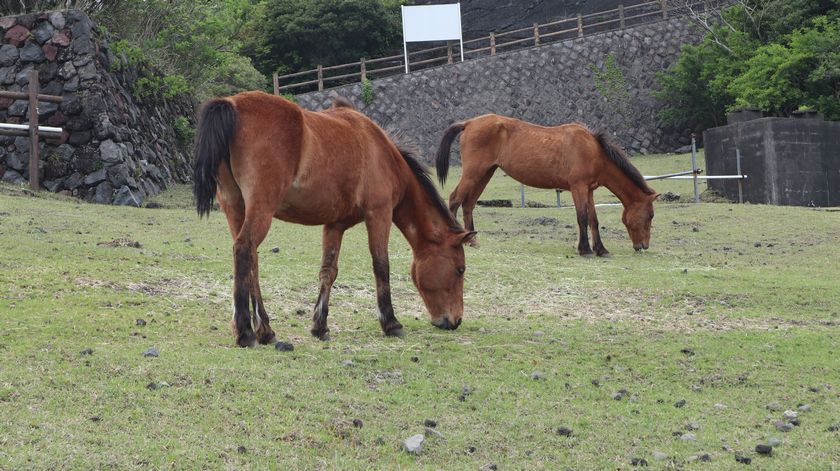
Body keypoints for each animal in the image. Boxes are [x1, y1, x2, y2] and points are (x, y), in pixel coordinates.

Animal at [193, 92, 476, 348]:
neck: (382, 152)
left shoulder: (335, 225)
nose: (455, 321)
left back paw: (265, 330)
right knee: (244, 250)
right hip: (260, 209)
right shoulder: (379, 214)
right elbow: (381, 265)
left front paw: (320, 325)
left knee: (251, 260)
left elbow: (328, 271)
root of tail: (232, 104)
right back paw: (246, 332)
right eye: (460, 269)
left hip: (235, 208)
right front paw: (391, 323)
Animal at [436, 114, 660, 256]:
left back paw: (472, 240)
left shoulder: (589, 190)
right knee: (455, 200)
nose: (643, 246)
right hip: (473, 172)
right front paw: (585, 249)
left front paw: (601, 249)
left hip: (484, 174)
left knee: (468, 204)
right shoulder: (578, 188)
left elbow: (593, 220)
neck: (593, 150)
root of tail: (469, 123)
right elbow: (582, 218)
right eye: (650, 215)